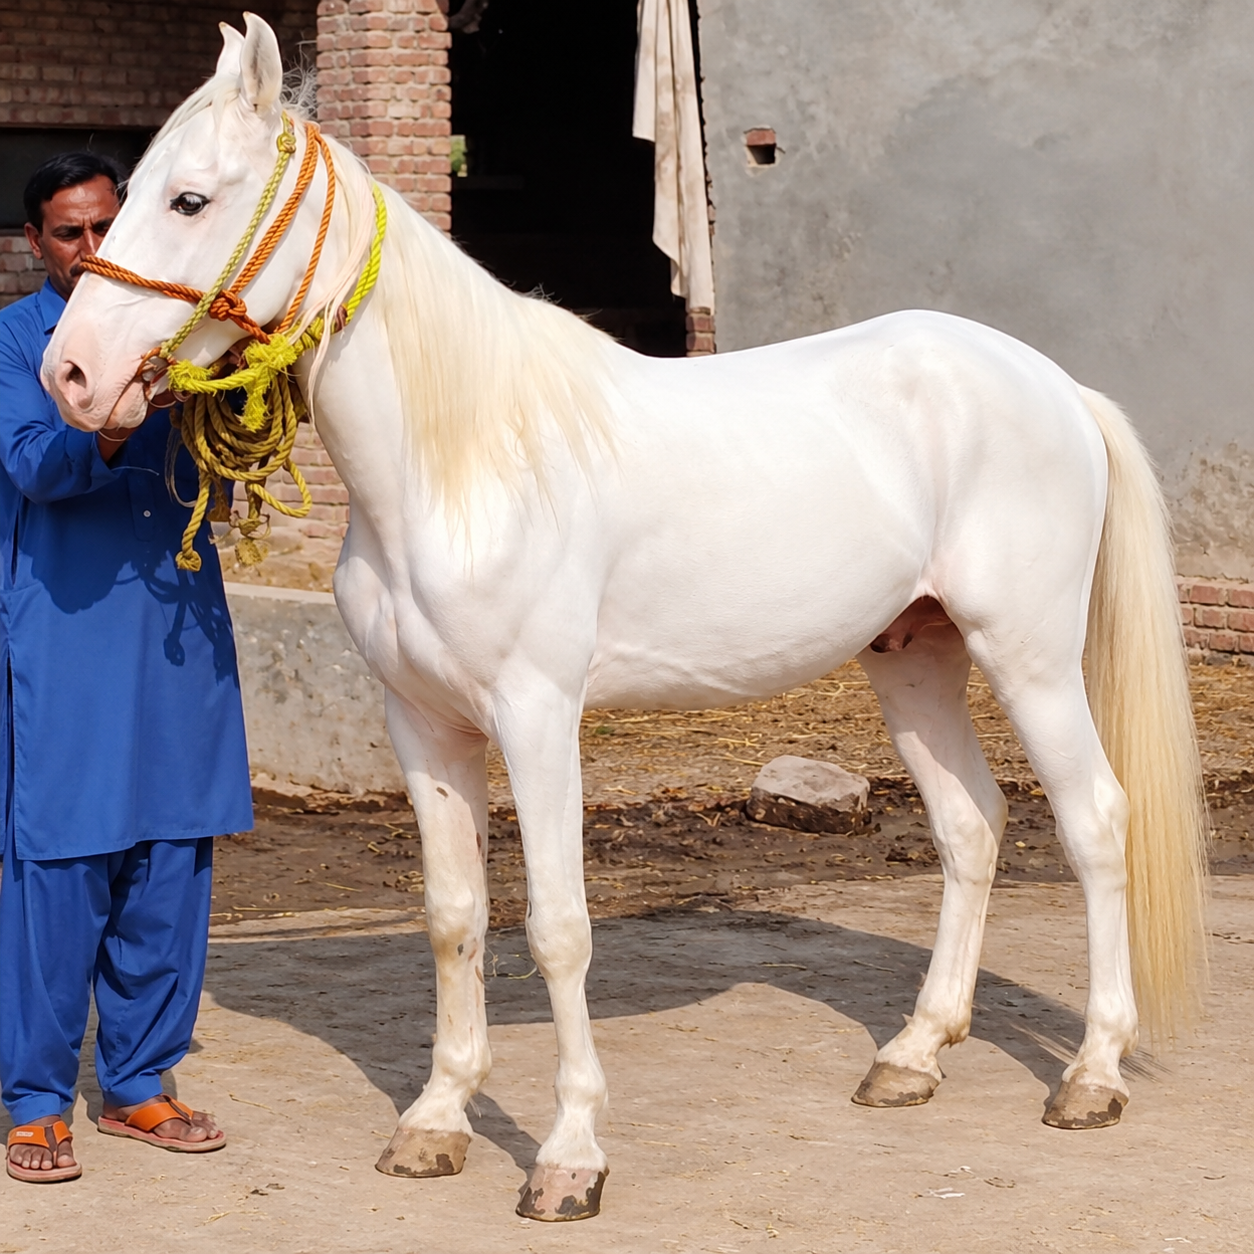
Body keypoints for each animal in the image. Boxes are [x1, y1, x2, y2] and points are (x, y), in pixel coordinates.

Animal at [43, 15, 1207, 1223]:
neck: (462, 462)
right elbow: (454, 917)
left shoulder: (538, 717)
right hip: (913, 658)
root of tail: (1054, 386)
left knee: (1095, 822)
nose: (70, 375)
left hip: (1029, 657)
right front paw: (435, 1123)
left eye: (189, 199)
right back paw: (913, 1056)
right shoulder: (423, 725)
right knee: (972, 827)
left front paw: (568, 1159)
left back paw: (1093, 1076)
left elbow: (557, 929)